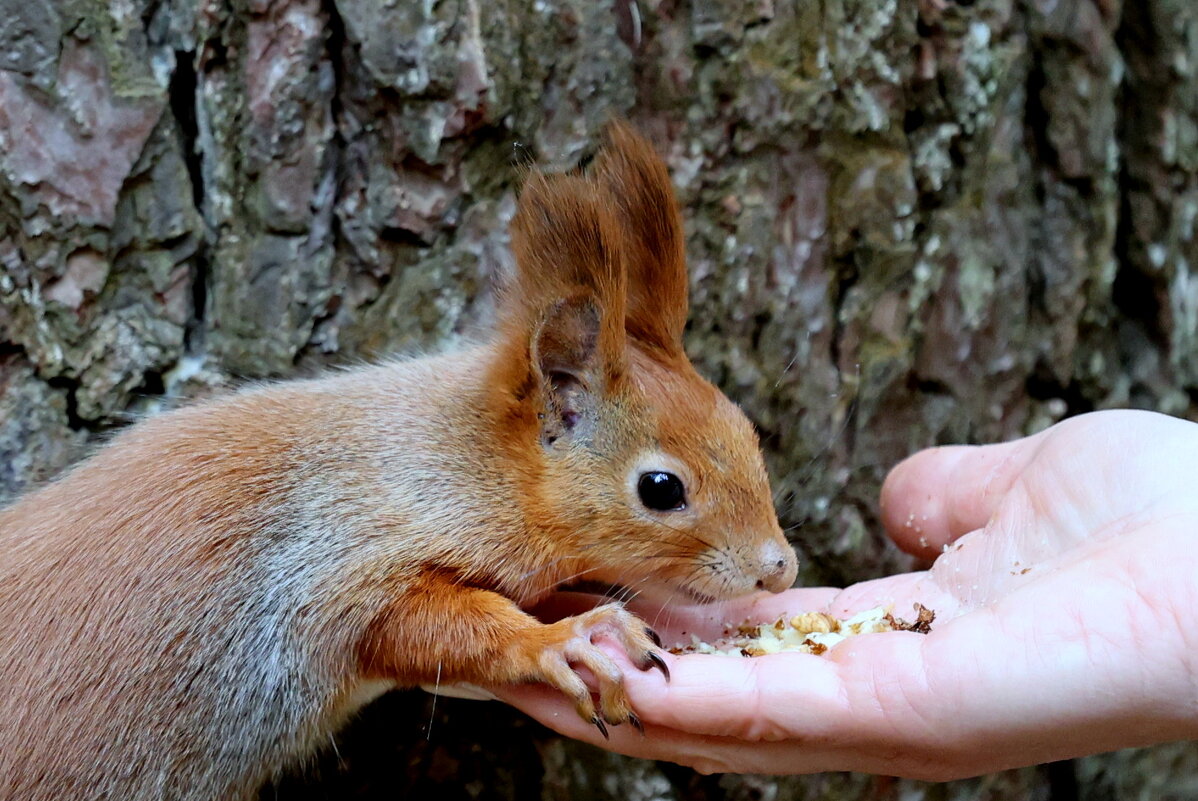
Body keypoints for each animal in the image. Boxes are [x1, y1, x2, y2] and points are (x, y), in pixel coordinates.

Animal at [4, 122, 800, 795]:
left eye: (747, 431)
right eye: (660, 488)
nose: (779, 569)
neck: (459, 460)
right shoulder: (333, 558)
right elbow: (421, 623)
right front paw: (565, 638)